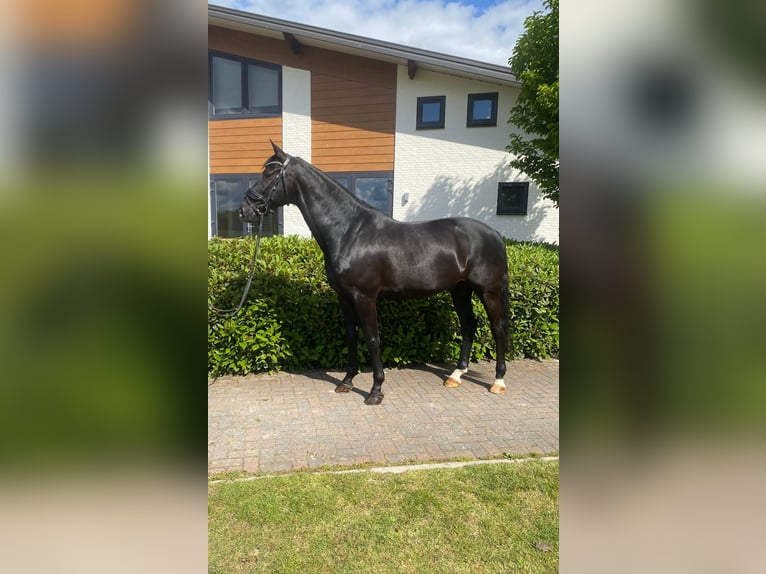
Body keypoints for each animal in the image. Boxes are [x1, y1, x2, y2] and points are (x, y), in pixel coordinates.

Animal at [239, 141, 511, 405]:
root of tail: (495, 234)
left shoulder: (365, 297)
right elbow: (351, 335)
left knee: (497, 328)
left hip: (488, 291)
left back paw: (498, 381)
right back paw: (456, 375)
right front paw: (347, 381)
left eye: (270, 172)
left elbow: (372, 340)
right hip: (460, 290)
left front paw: (376, 390)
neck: (349, 231)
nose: (244, 210)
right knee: (469, 325)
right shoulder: (345, 297)